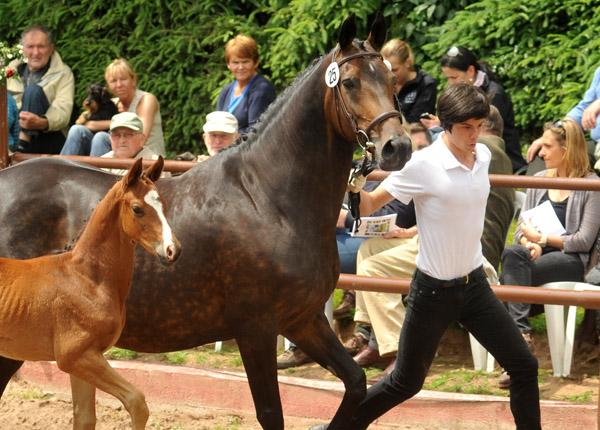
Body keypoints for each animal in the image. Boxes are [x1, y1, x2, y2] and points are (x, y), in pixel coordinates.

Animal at [0, 158, 180, 430]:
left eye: (164, 205)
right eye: (137, 209)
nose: (173, 250)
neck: (88, 279)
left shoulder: (85, 358)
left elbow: (85, 418)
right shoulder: (75, 356)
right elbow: (137, 402)